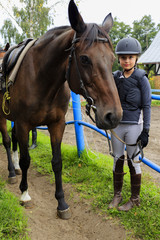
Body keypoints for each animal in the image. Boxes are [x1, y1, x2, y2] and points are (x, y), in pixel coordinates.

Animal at [0, 0, 121, 219]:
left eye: (112, 58)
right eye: (84, 59)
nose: (113, 115)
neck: (41, 79)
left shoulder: (57, 124)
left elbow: (57, 162)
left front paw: (61, 203)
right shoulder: (23, 124)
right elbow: (26, 159)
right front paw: (25, 194)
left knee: (12, 140)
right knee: (6, 140)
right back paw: (12, 172)